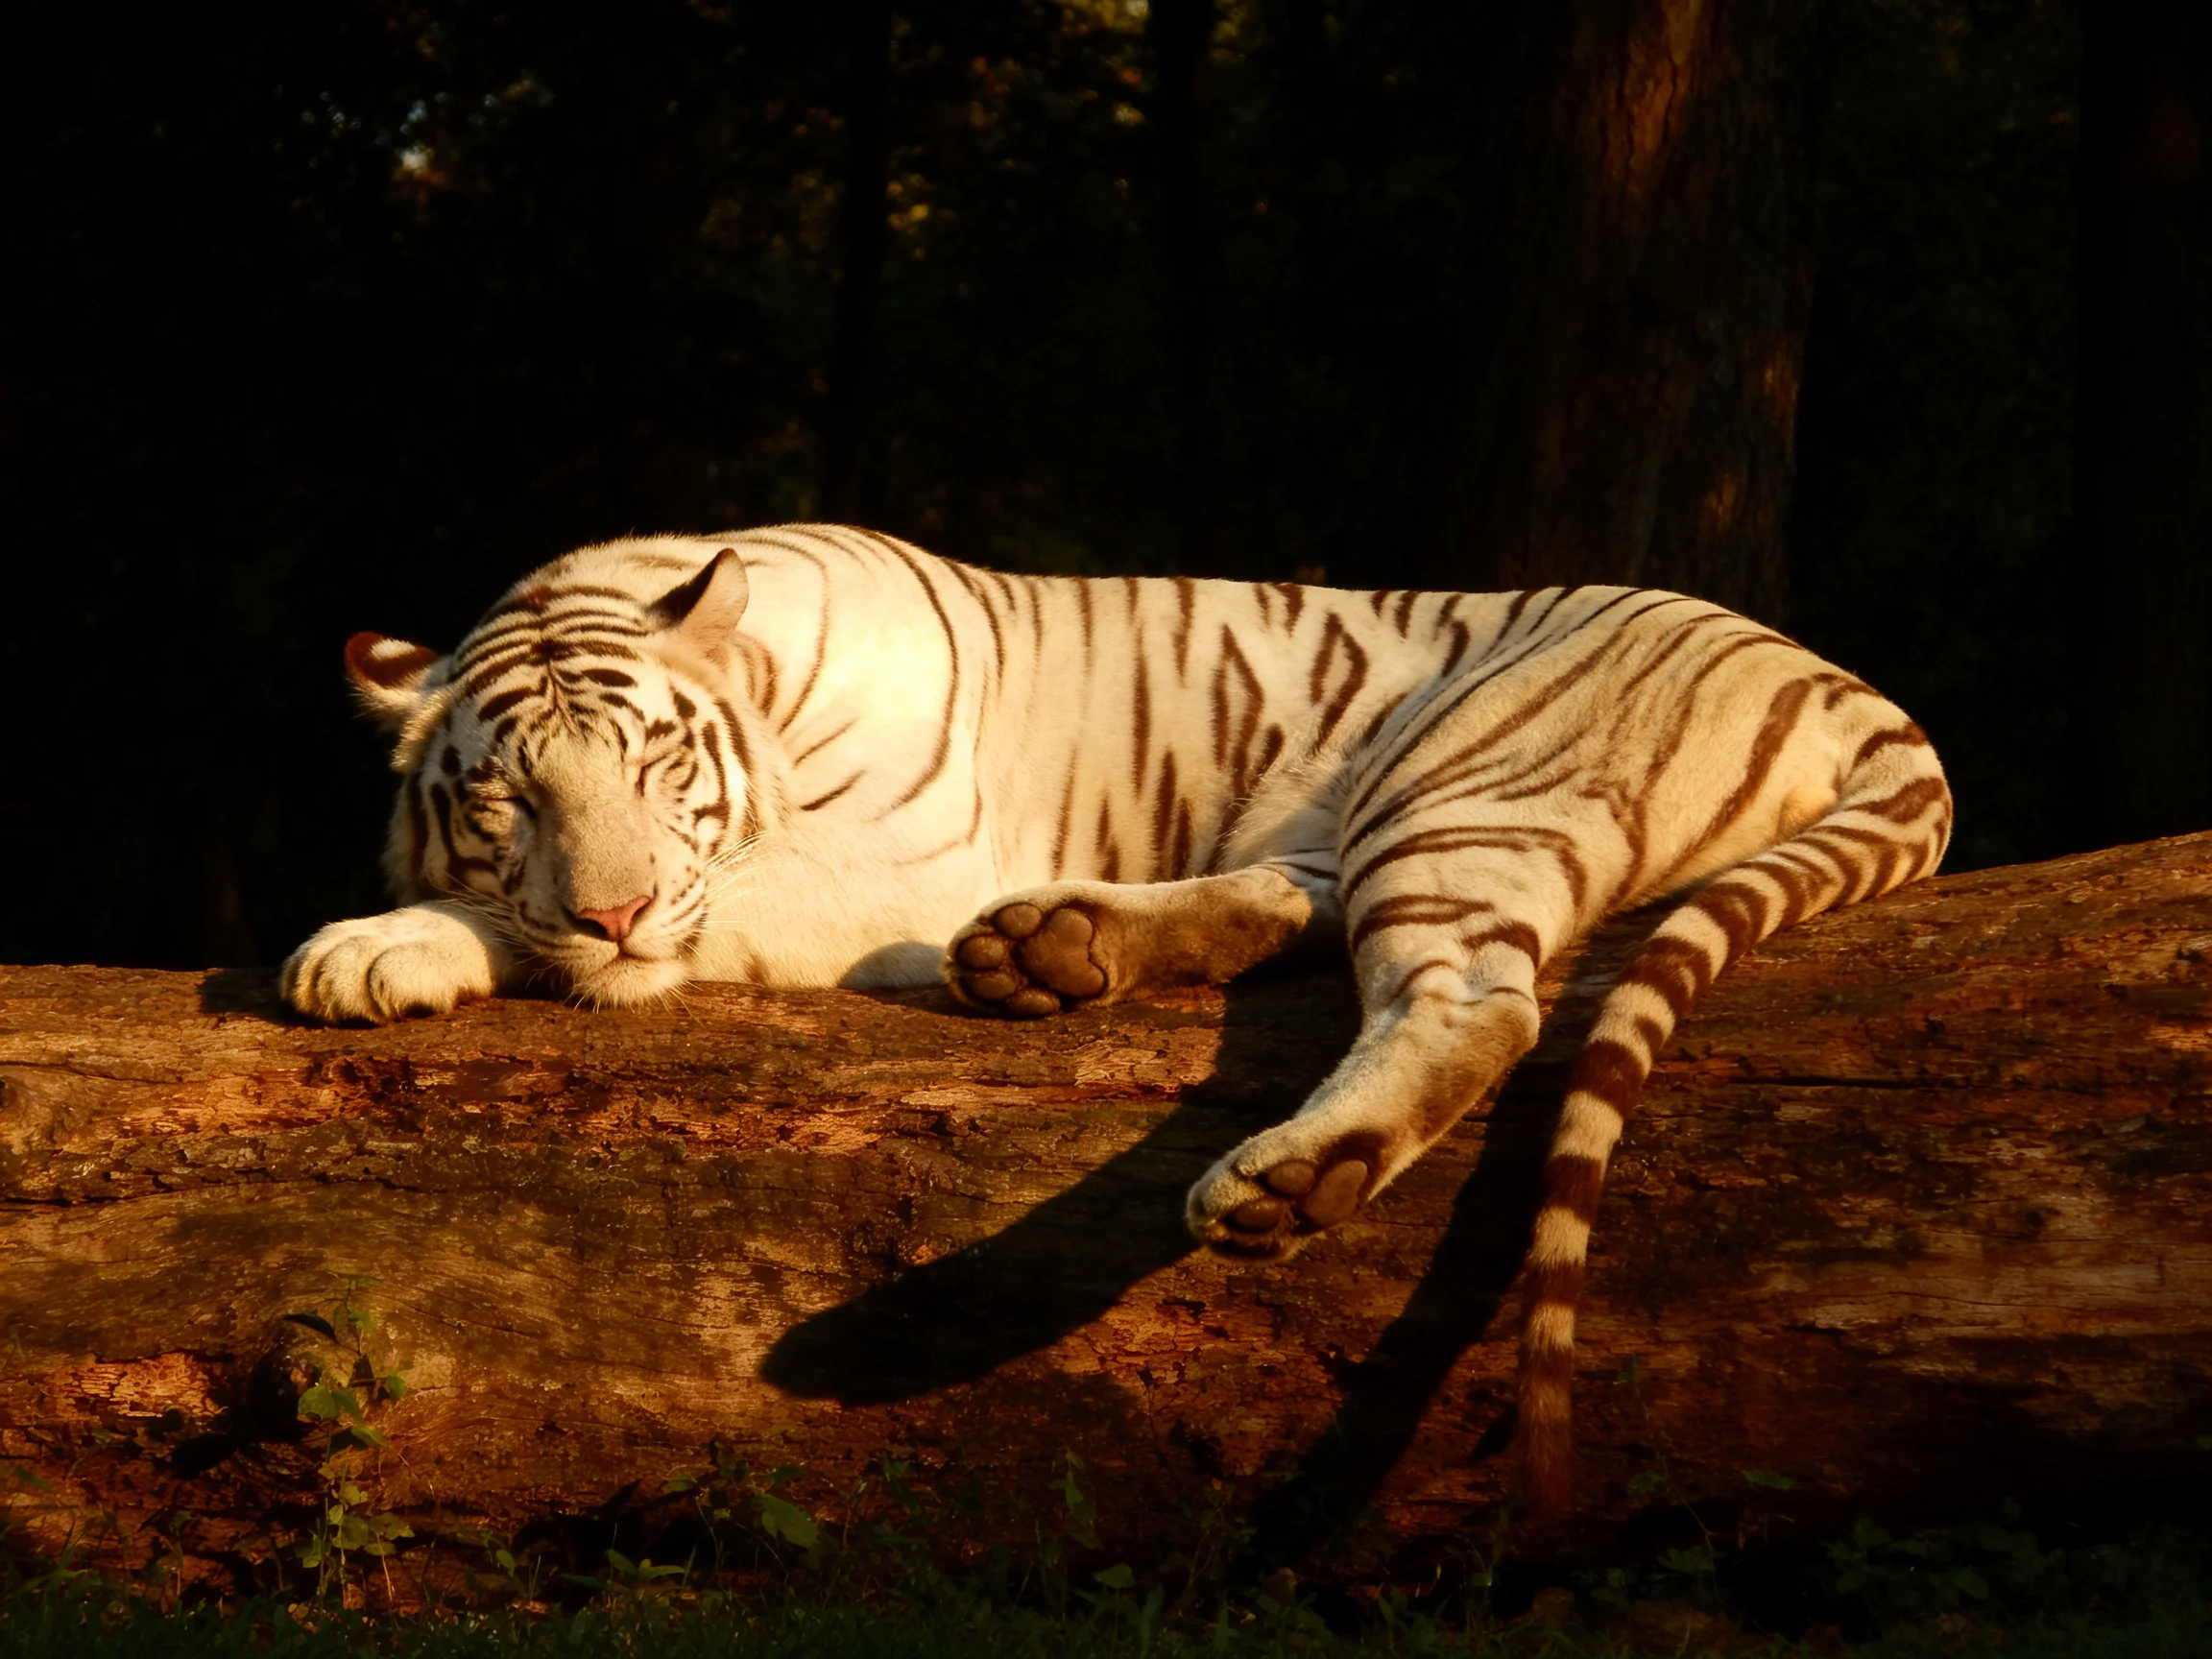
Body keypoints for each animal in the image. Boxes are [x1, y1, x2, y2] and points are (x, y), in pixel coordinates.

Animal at [282, 525, 1952, 1512]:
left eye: (652, 765)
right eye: (509, 793)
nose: (614, 910)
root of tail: (1846, 684)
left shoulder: (904, 861)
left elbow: (593, 929)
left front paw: (376, 945)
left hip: (1468, 776)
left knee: (1480, 999)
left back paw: (1292, 1174)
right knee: (1305, 907)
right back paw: (1053, 950)